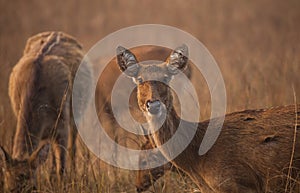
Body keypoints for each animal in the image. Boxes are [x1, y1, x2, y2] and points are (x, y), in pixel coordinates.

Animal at [0, 31, 88, 191]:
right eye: (8, 188)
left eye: (32, 188)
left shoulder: (62, 122)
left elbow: (62, 167)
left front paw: (62, 185)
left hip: (76, 114)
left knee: (72, 146)